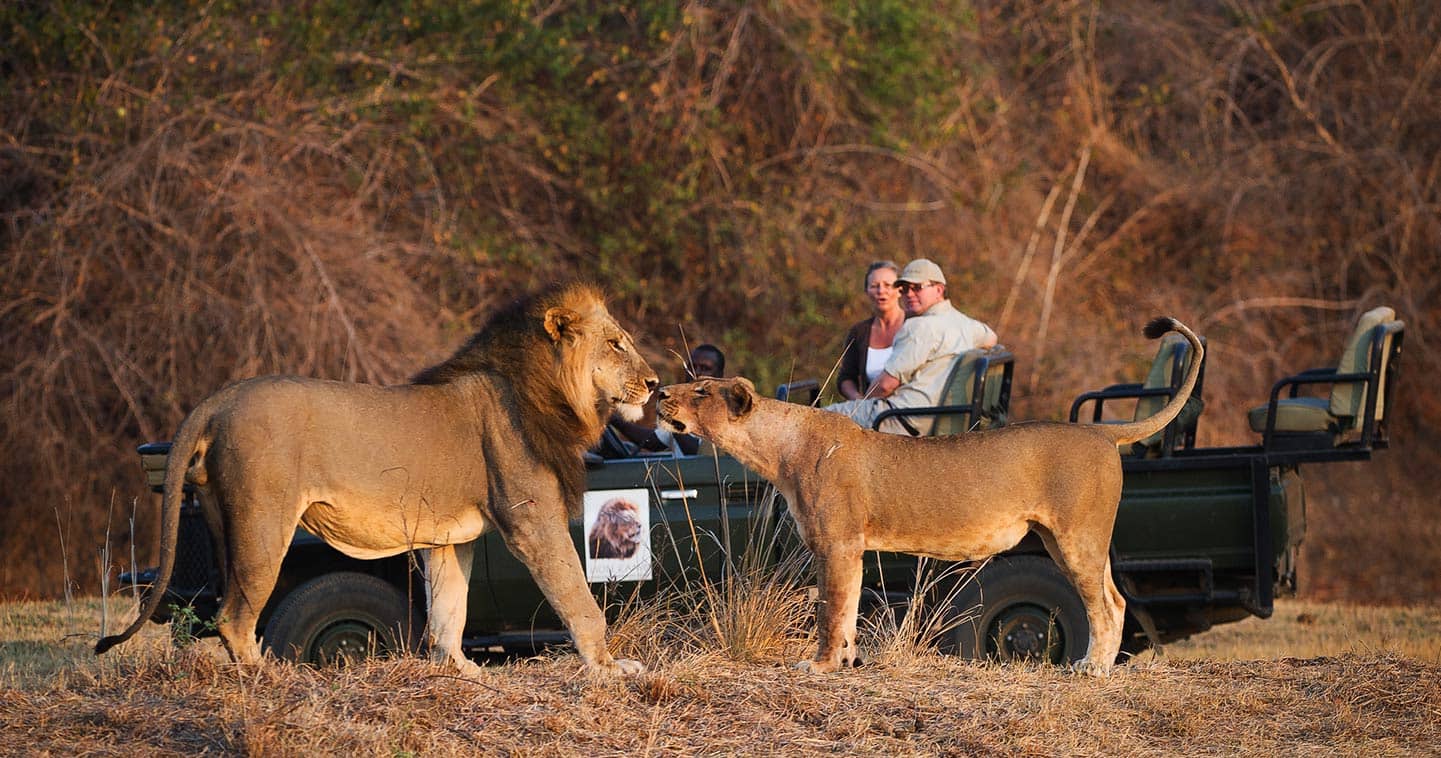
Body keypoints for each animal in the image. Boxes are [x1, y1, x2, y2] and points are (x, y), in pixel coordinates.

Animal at [100, 283, 659, 677]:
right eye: (616, 344)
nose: (654, 383)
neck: (550, 393)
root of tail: (220, 398)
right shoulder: (532, 520)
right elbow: (579, 600)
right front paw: (610, 669)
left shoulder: (449, 537)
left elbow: (449, 609)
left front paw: (461, 671)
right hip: (264, 525)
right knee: (234, 618)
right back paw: (274, 681)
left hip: (223, 523)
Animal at [659, 315, 1198, 677]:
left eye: (701, 390)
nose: (661, 393)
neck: (778, 448)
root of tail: (1102, 432)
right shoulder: (846, 549)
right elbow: (848, 609)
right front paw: (849, 662)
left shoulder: (838, 544)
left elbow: (831, 610)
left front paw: (821, 666)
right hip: (1070, 540)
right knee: (1116, 599)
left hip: (1076, 538)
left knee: (1102, 606)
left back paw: (1092, 669)